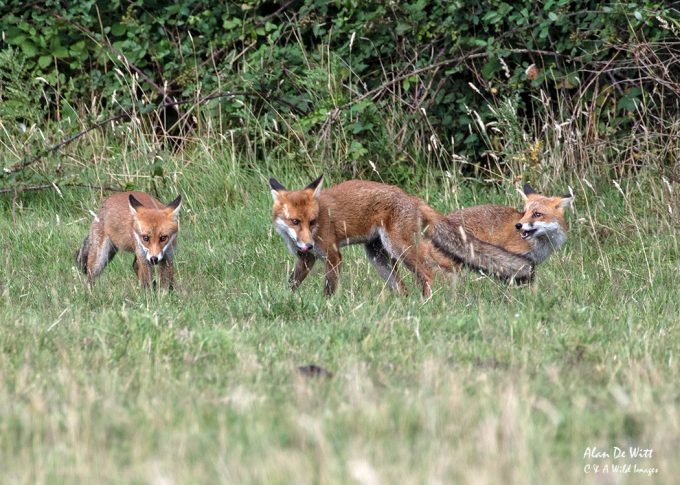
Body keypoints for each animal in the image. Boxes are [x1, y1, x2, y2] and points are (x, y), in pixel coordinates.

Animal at [269, 175, 533, 297]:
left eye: (312, 222)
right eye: (295, 222)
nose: (307, 243)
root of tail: (411, 197)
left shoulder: (333, 255)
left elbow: (328, 289)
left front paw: (328, 306)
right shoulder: (306, 259)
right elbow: (292, 284)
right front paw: (288, 300)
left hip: (398, 248)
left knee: (426, 274)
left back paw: (425, 303)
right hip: (379, 257)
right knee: (402, 287)